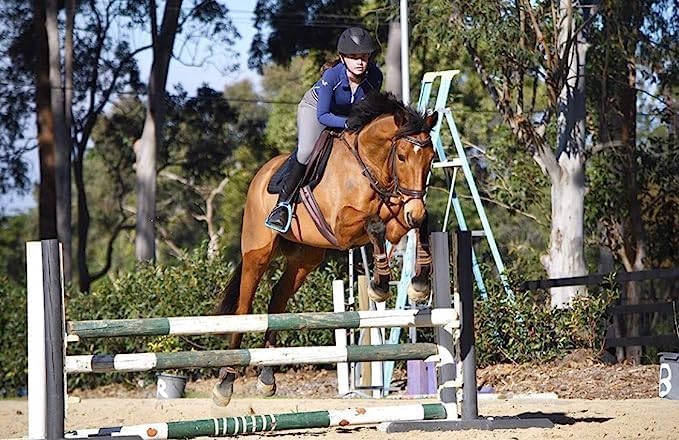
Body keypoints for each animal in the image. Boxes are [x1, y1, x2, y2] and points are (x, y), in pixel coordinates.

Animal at [212, 92, 438, 406]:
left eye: (431, 158)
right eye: (402, 156)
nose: (414, 211)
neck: (370, 167)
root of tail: (261, 174)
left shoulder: (399, 216)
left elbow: (416, 224)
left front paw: (419, 283)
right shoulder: (343, 228)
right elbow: (374, 224)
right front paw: (380, 286)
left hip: (305, 259)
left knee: (276, 302)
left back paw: (267, 378)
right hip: (258, 253)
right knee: (245, 309)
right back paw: (225, 382)